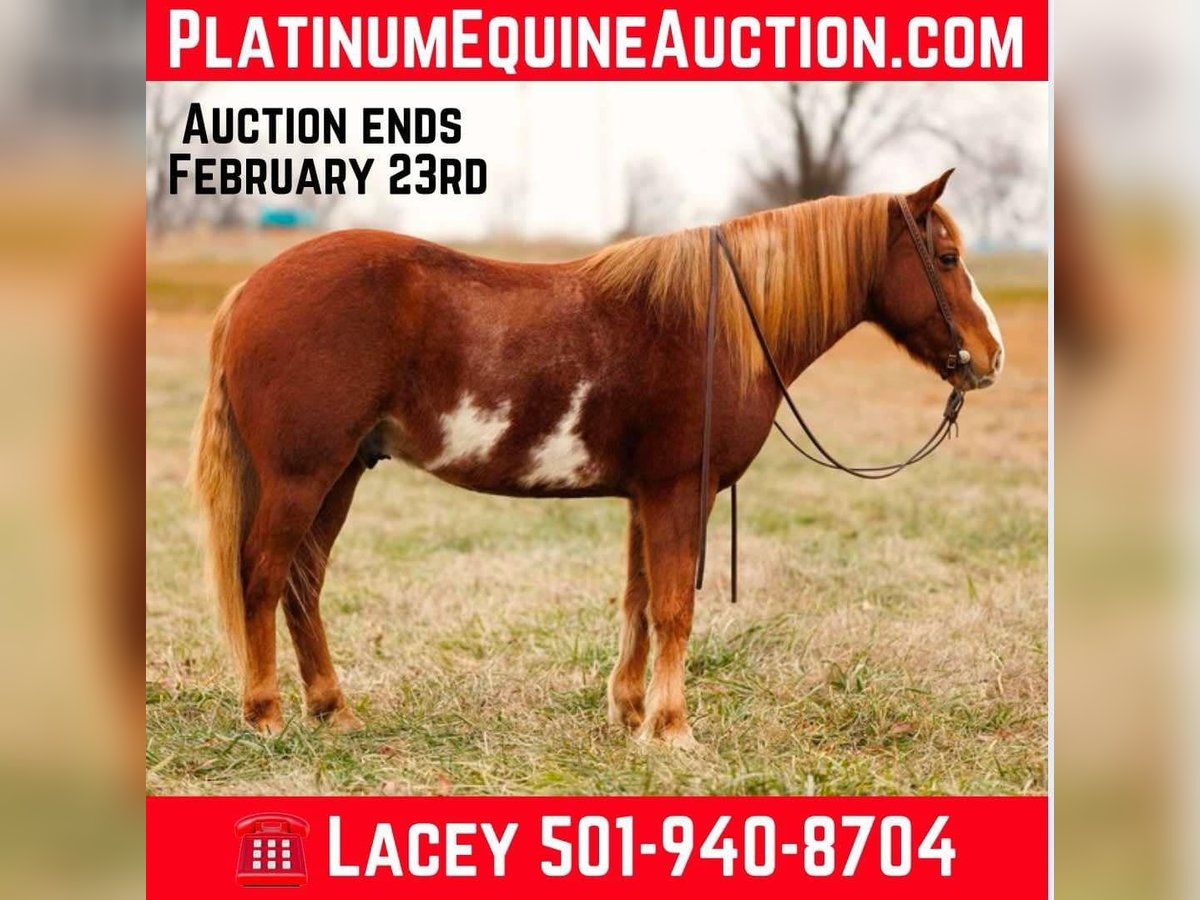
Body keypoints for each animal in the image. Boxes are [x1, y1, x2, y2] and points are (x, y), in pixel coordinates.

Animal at [190, 169, 1004, 745]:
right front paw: (673, 730)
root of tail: (250, 290)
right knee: (263, 576)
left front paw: (630, 711)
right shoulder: (680, 490)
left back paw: (332, 708)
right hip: (302, 476)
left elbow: (640, 602)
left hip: (340, 477)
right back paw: (264, 713)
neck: (719, 322)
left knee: (303, 583)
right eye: (947, 257)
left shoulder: (649, 495)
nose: (989, 357)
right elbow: (674, 607)